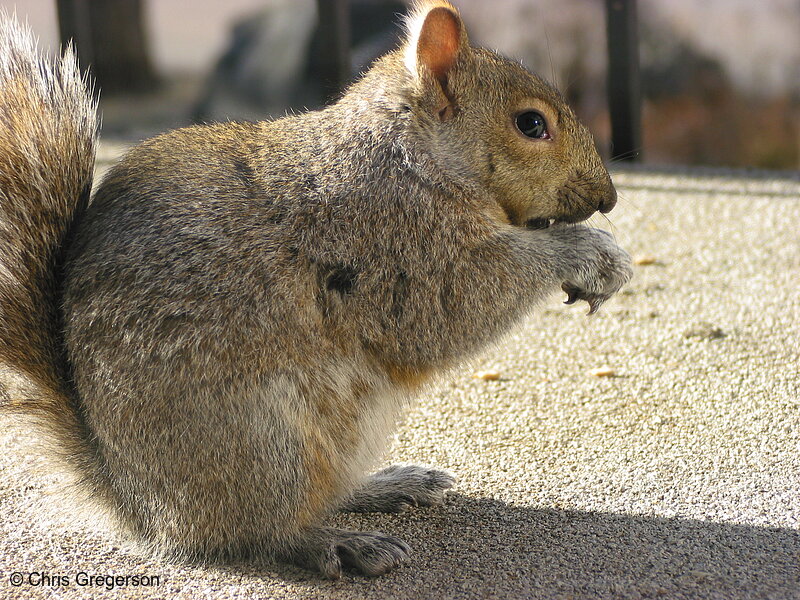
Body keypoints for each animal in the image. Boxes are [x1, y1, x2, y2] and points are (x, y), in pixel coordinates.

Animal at [3, 2, 636, 580]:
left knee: (323, 491)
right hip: (262, 440)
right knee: (258, 533)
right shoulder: (394, 247)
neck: (413, 156)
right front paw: (590, 255)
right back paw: (336, 542)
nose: (608, 197)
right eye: (531, 124)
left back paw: (387, 484)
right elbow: (450, 309)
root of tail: (135, 503)